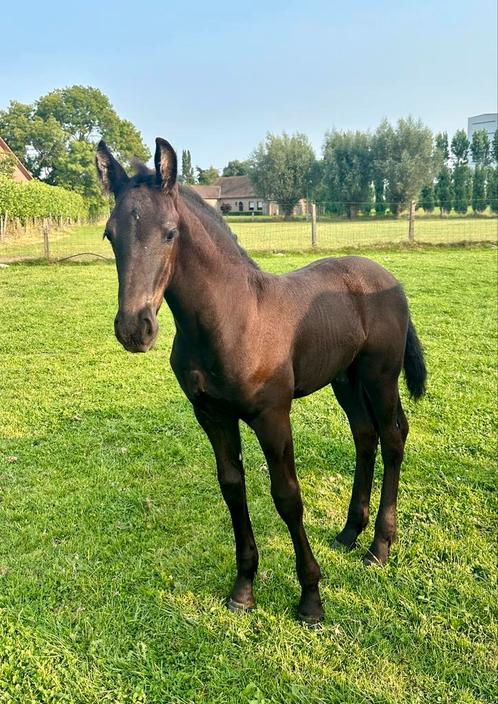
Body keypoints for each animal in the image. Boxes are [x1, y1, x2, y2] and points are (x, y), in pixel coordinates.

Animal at [97, 139, 428, 628]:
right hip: (345, 380)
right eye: (109, 234)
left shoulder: (272, 416)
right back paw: (350, 531)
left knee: (393, 436)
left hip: (379, 375)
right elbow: (232, 488)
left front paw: (311, 598)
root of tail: (390, 280)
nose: (135, 329)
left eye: (170, 233)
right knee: (365, 436)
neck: (232, 317)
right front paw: (243, 588)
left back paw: (380, 546)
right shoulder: (211, 415)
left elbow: (287, 497)